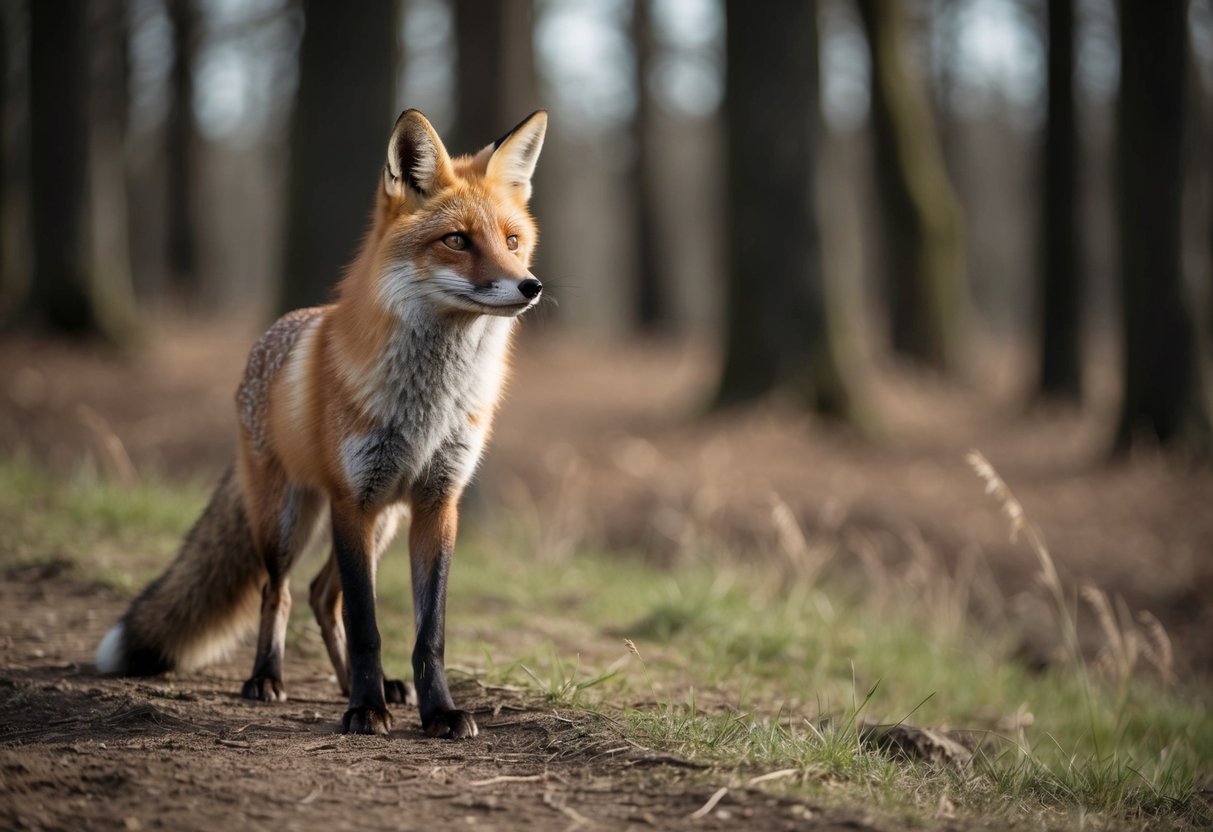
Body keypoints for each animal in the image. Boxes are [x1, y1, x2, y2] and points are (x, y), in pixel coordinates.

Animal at [94, 109, 549, 740]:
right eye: (456, 240)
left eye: (511, 241)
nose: (530, 285)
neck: (427, 406)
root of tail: (272, 334)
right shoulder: (352, 499)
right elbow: (367, 628)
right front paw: (364, 710)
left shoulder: (437, 501)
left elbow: (427, 633)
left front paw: (437, 711)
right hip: (289, 520)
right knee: (280, 593)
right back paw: (268, 678)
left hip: (381, 523)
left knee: (320, 596)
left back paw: (356, 685)